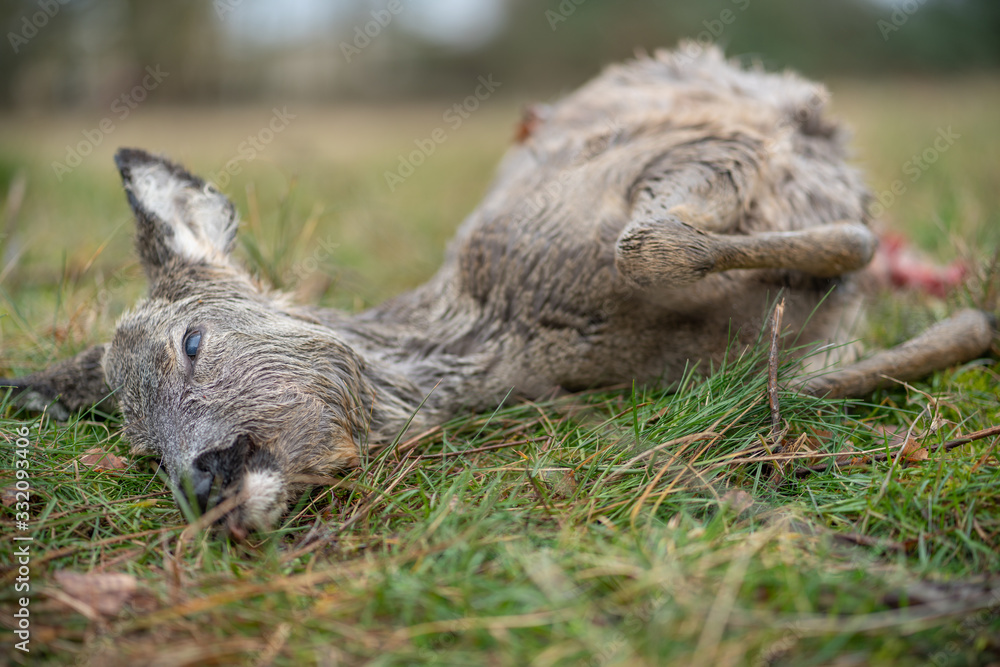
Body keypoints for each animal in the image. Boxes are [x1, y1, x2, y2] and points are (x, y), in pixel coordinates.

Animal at [2, 46, 995, 537]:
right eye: (138, 450)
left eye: (194, 342)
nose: (203, 484)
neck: (503, 336)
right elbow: (807, 378)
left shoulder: (708, 146)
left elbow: (651, 244)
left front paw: (857, 250)